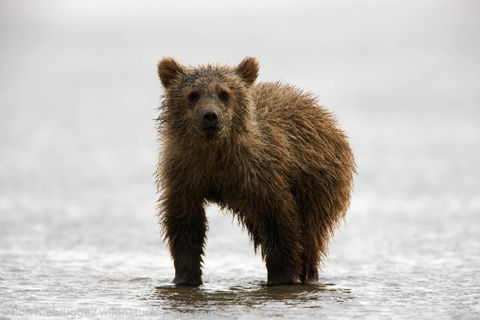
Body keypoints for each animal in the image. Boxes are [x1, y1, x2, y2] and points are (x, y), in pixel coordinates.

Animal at [156, 57, 354, 284]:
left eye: (224, 93)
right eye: (193, 94)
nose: (210, 116)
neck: (215, 154)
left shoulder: (261, 173)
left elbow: (279, 221)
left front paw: (283, 276)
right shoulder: (184, 174)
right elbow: (185, 225)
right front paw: (186, 277)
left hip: (318, 182)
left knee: (311, 235)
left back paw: (308, 273)